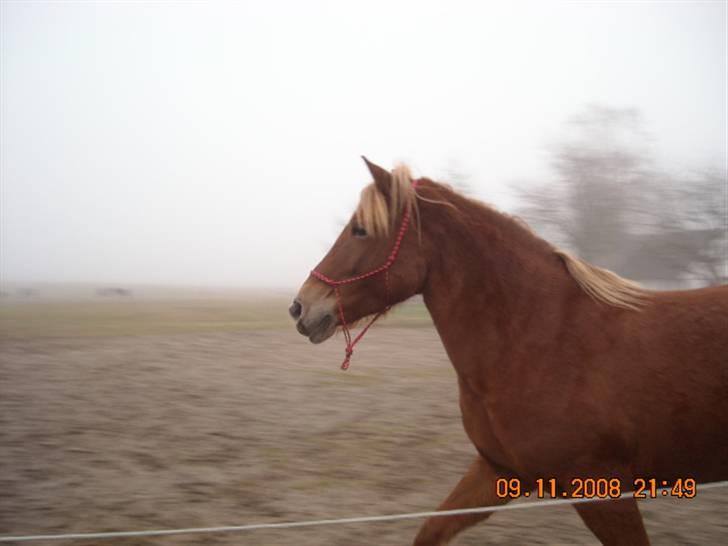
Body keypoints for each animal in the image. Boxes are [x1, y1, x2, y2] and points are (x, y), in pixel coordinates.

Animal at [290, 157, 728, 544]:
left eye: (360, 230)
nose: (300, 307)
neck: (543, 338)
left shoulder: (603, 491)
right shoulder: (498, 470)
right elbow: (430, 530)